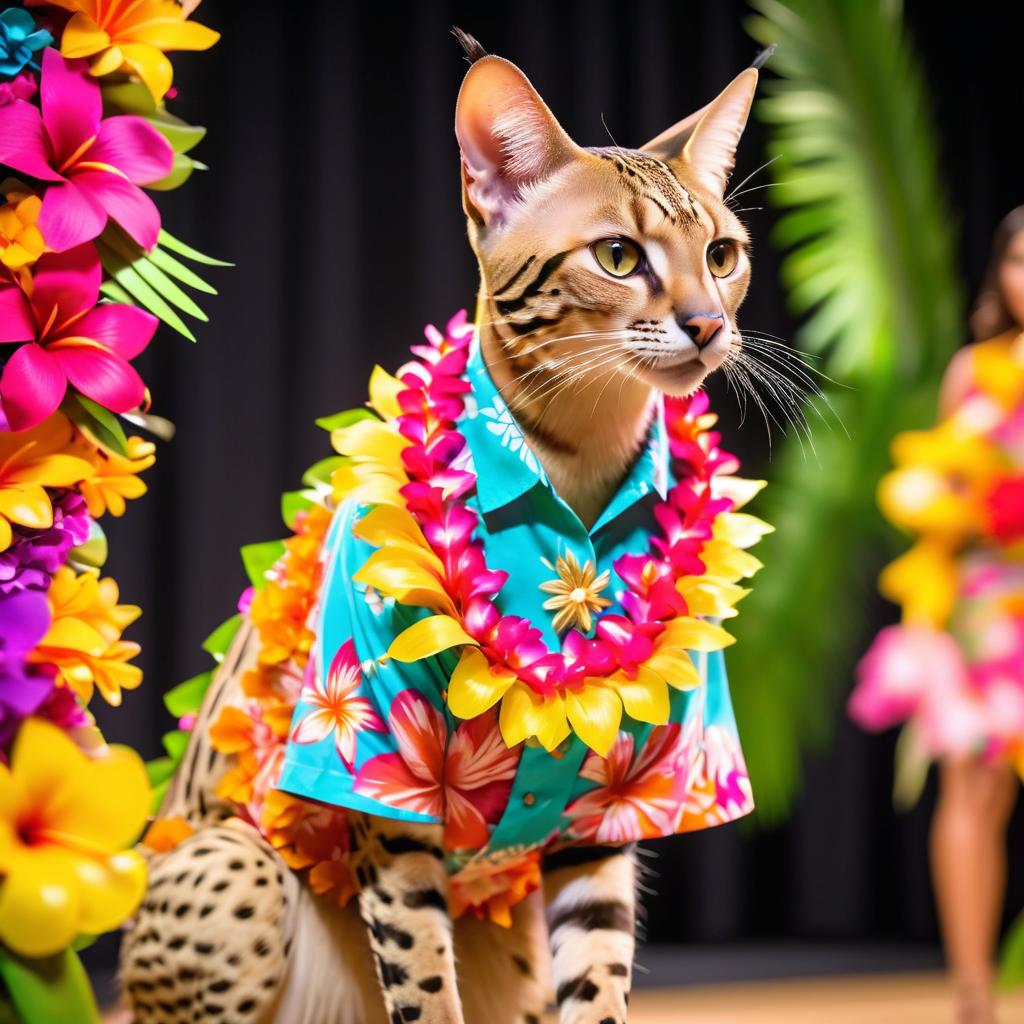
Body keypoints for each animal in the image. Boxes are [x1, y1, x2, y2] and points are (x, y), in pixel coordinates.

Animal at [119, 29, 761, 1024]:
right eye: (619, 256)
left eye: (724, 253)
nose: (709, 325)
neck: (581, 459)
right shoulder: (387, 777)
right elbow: (422, 981)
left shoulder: (621, 793)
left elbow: (600, 979)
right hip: (236, 869)